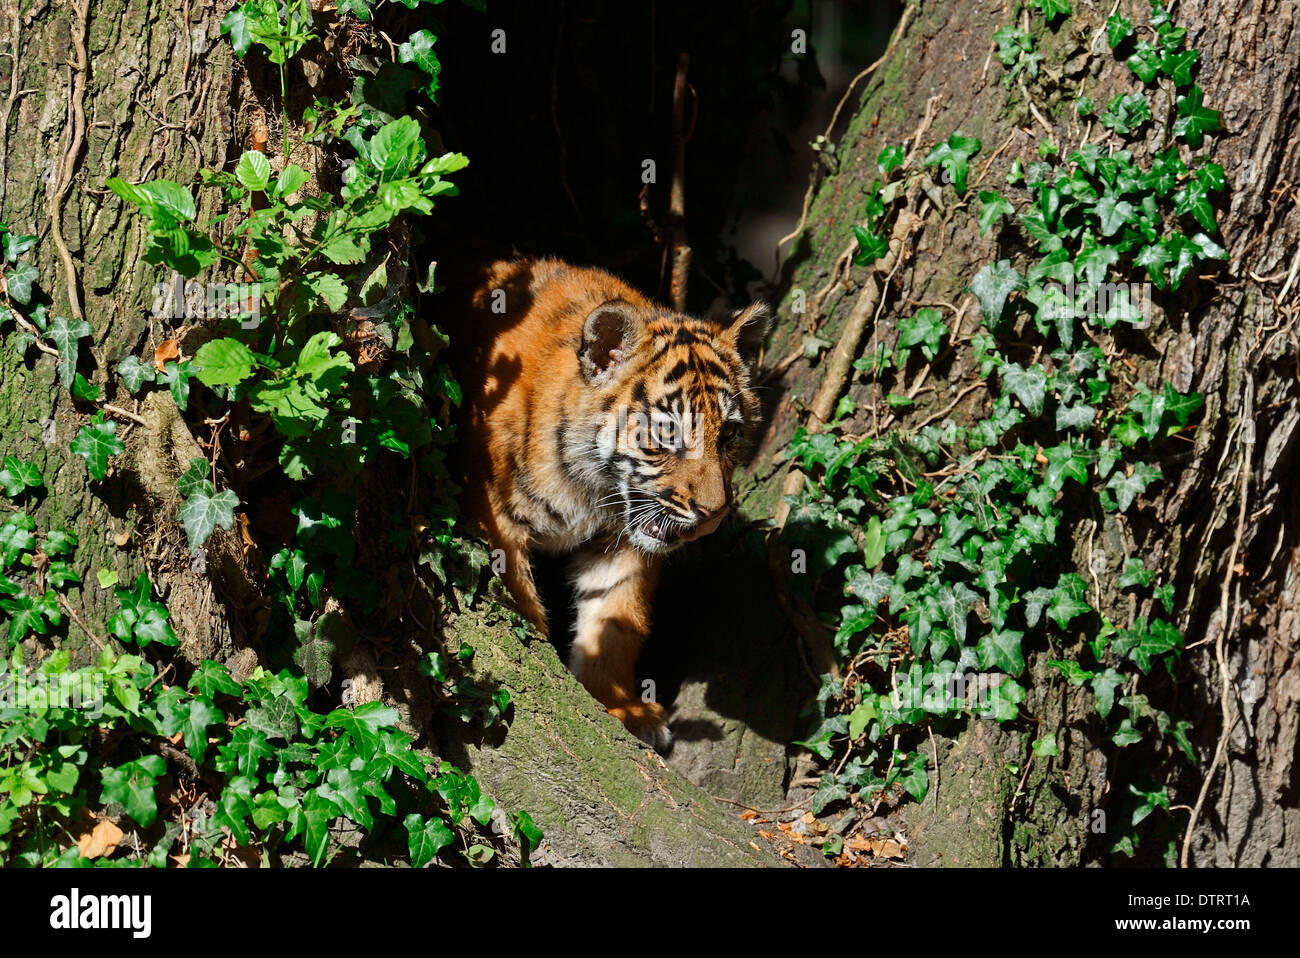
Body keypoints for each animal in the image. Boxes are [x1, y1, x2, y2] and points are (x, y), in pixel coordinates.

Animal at [452, 259, 764, 748]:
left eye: (729, 434)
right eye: (667, 434)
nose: (712, 518)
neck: (591, 490)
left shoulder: (621, 545)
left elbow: (615, 621)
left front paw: (621, 708)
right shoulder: (498, 520)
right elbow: (522, 603)